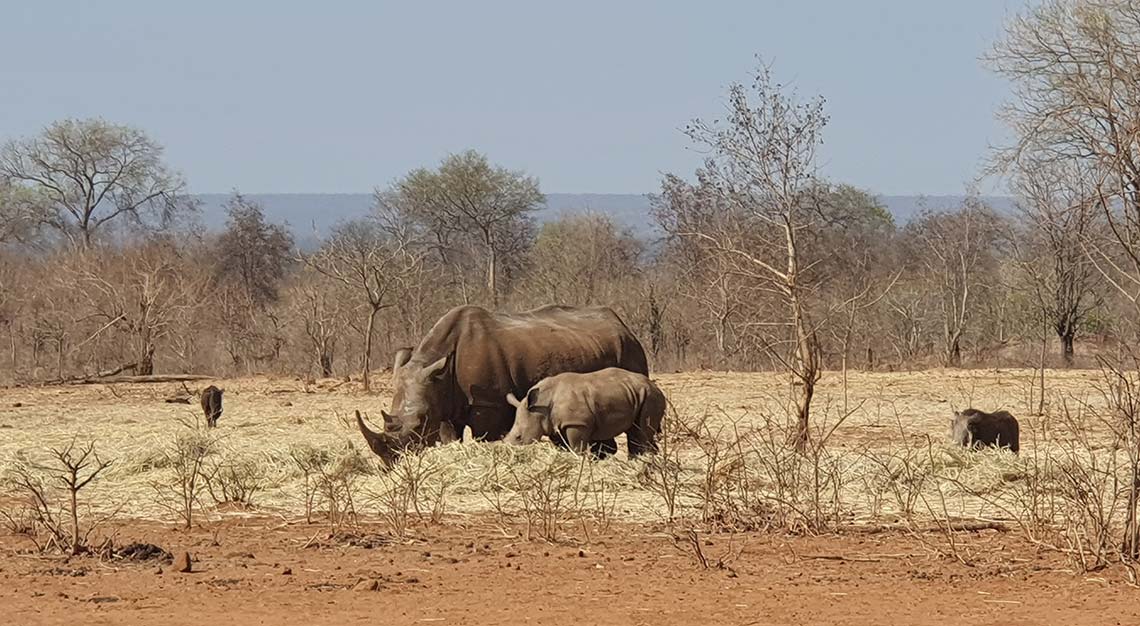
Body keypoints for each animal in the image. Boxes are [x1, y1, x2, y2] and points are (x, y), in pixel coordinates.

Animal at [503, 367, 665, 453]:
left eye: (518, 437)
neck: (541, 406)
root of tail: (655, 386)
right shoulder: (554, 424)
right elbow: (564, 446)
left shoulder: (577, 423)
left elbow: (577, 447)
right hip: (636, 394)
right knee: (635, 432)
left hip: (651, 396)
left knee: (642, 432)